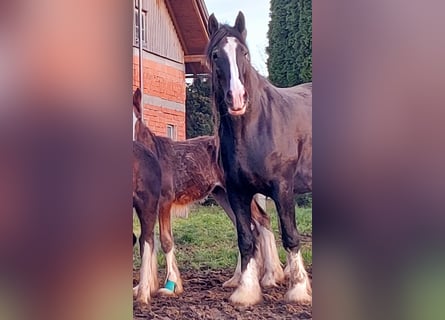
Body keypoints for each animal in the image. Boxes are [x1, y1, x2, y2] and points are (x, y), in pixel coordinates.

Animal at [132, 87, 284, 298]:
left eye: (134, 120)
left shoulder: (164, 201)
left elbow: (165, 240)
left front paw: (170, 285)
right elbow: (147, 240)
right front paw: (144, 286)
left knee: (262, 220)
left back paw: (271, 276)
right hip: (223, 195)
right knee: (247, 227)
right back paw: (237, 279)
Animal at [206, 11, 310, 304]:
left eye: (244, 52)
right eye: (215, 55)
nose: (236, 98)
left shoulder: (283, 188)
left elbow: (290, 235)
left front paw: (298, 289)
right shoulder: (237, 192)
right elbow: (246, 238)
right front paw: (246, 290)